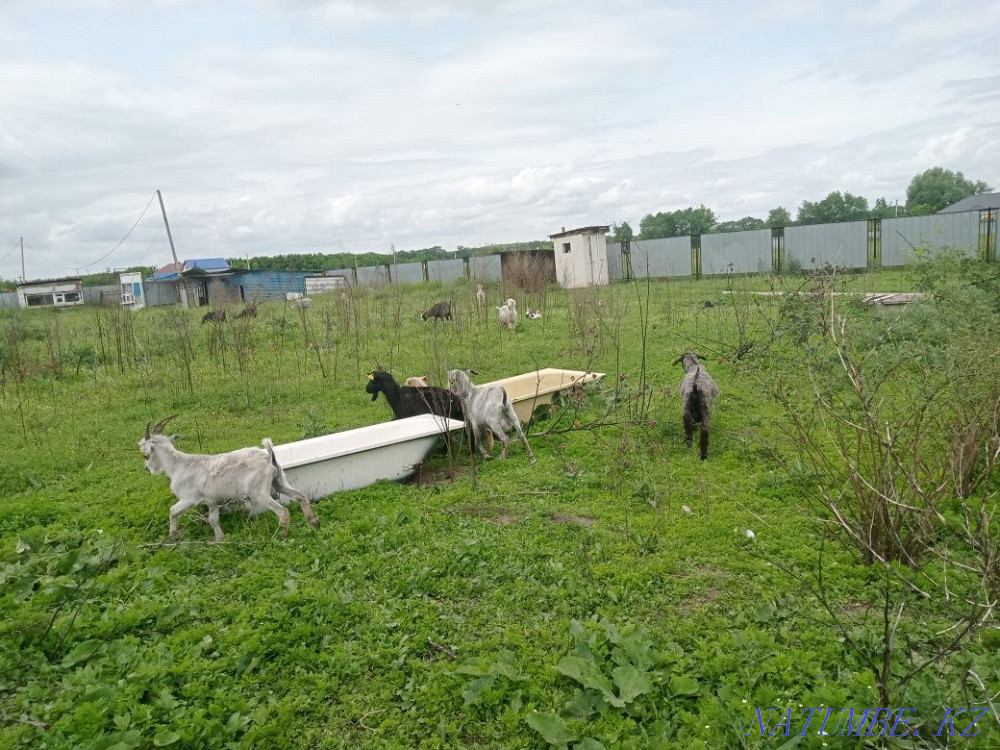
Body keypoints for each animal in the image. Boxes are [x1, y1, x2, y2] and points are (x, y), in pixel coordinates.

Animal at [139, 416, 319, 541]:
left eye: (144, 454)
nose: (147, 468)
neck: (178, 465)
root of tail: (269, 457)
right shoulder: (211, 501)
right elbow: (213, 520)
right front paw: (220, 540)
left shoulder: (189, 498)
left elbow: (172, 511)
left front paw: (172, 536)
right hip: (279, 481)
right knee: (300, 496)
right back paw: (313, 522)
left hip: (259, 492)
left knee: (282, 511)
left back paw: (283, 534)